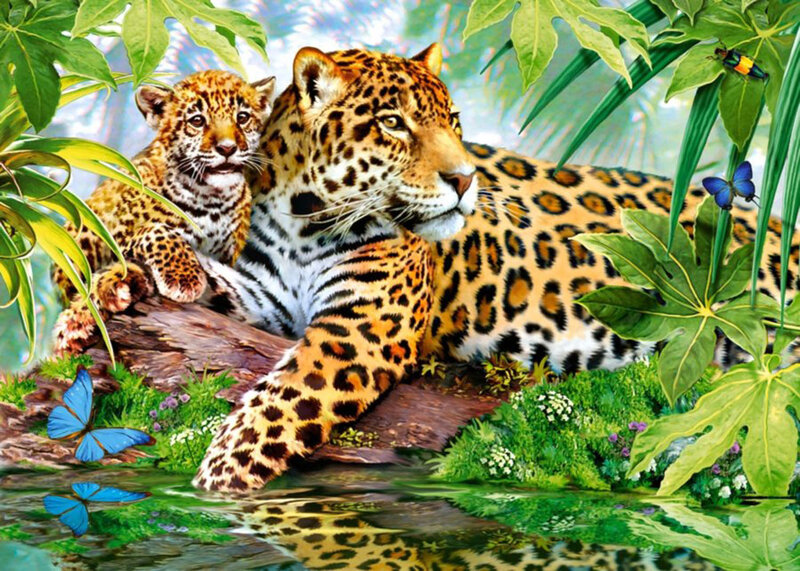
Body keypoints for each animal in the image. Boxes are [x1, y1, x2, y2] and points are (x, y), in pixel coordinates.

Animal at [52, 70, 275, 354]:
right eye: (197, 121)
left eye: (243, 117)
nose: (227, 148)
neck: (211, 198)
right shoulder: (116, 238)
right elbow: (156, 230)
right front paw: (184, 278)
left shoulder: (229, 257)